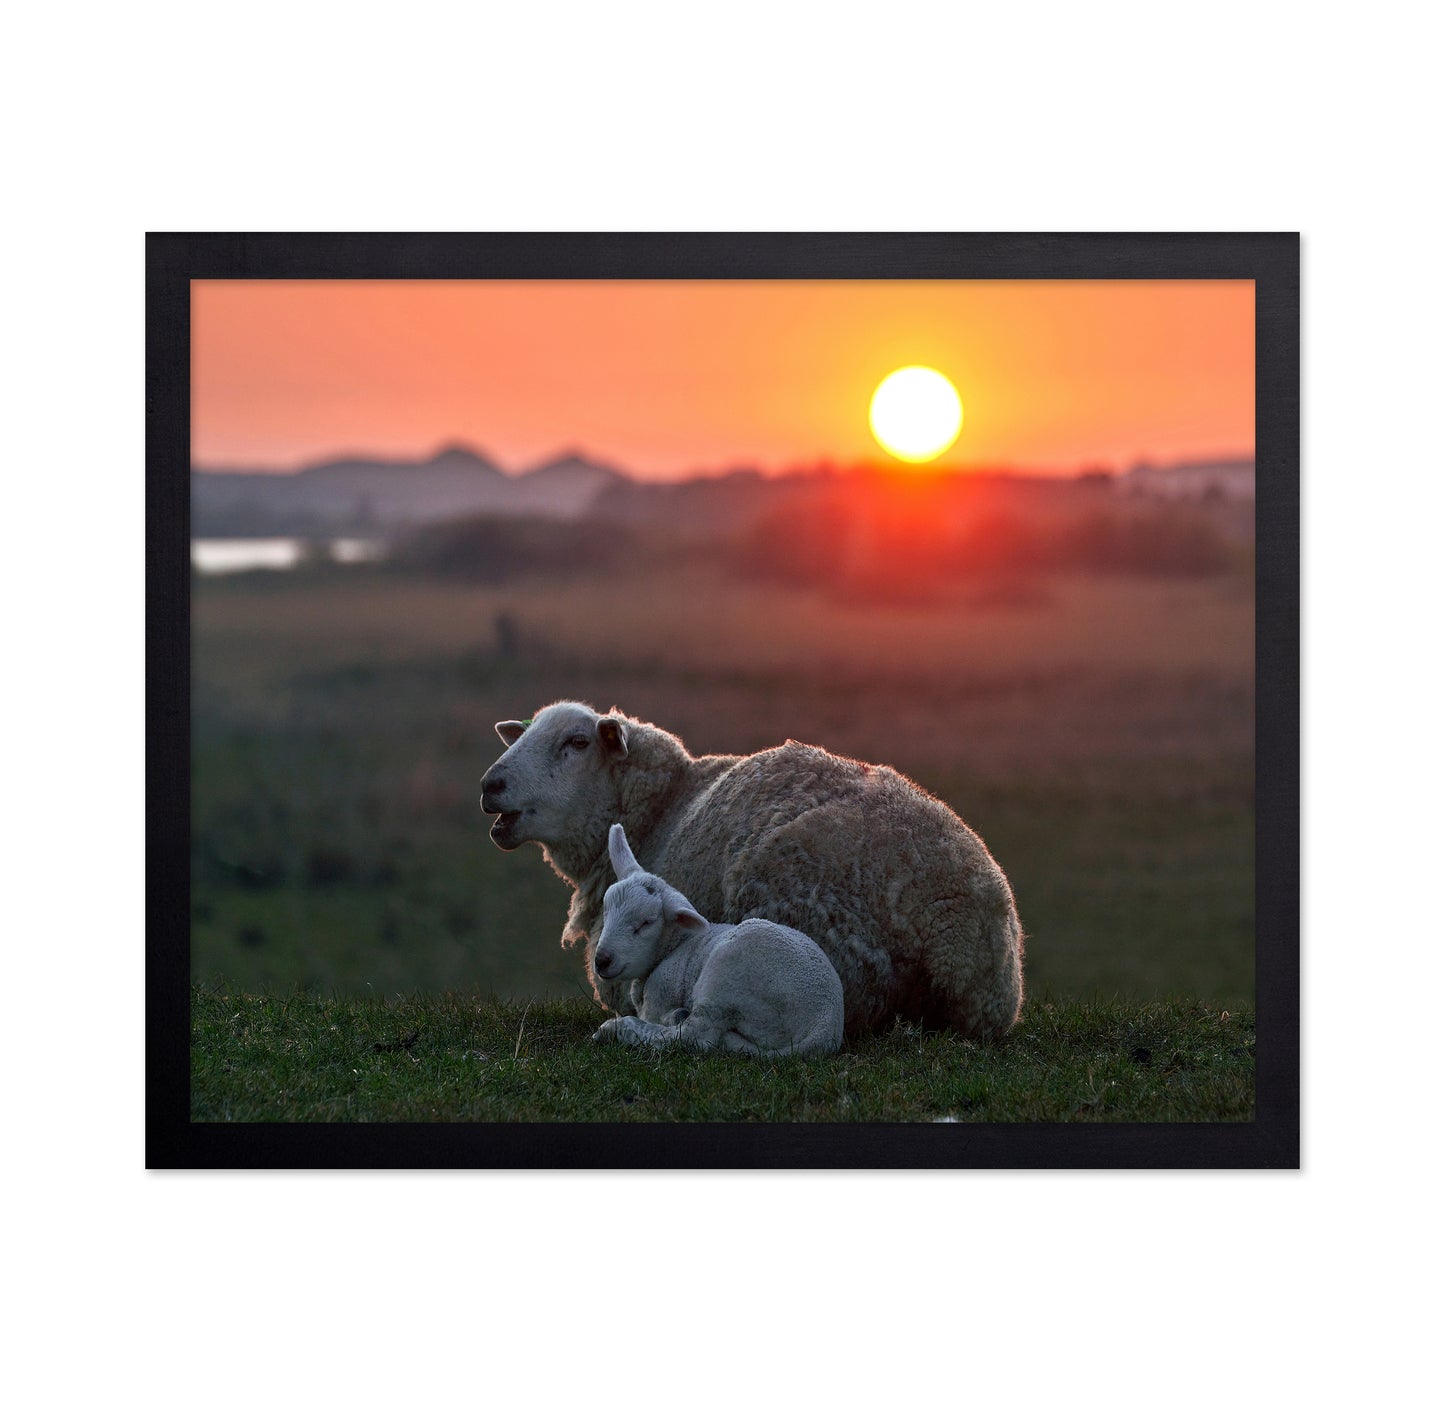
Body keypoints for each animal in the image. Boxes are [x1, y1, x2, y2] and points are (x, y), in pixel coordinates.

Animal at [591, 824, 845, 1056]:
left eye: (646, 923)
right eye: (606, 911)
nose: (602, 960)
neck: (673, 947)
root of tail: (823, 1027)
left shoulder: (660, 997)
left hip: (726, 976)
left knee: (695, 1036)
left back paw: (616, 1029)